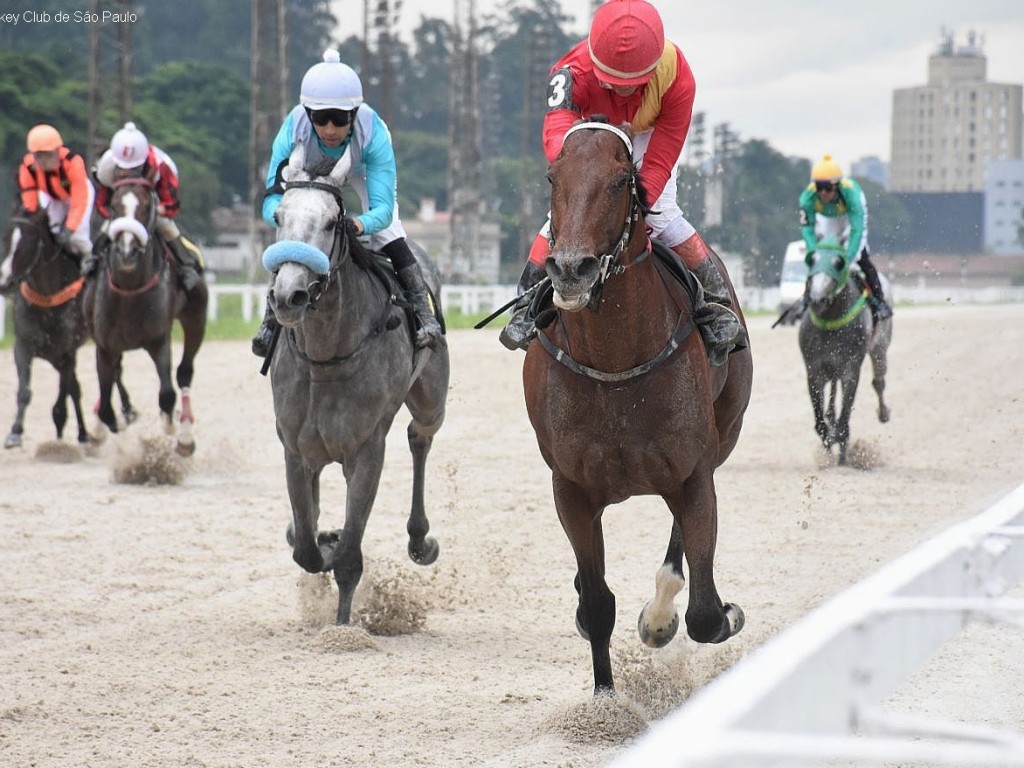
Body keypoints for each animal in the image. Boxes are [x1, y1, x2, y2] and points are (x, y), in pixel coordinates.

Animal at [81, 173, 207, 456]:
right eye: (114, 206)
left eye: (147, 206)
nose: (127, 249)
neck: (129, 291)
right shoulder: (105, 345)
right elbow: (106, 399)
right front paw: (105, 427)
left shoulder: (159, 340)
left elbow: (167, 394)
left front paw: (170, 428)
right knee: (114, 376)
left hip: (196, 317)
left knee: (184, 371)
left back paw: (184, 435)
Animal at [264, 144, 448, 626]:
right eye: (279, 216)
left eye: (332, 222)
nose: (288, 295)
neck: (327, 356)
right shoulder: (296, 449)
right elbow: (305, 547)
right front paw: (320, 539)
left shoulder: (365, 451)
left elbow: (348, 554)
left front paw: (344, 625)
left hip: (432, 399)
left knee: (420, 435)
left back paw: (420, 540)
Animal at [520, 121, 753, 696]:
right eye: (552, 177)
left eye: (622, 180)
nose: (572, 269)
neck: (614, 358)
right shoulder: (571, 488)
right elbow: (597, 604)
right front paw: (605, 699)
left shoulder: (692, 473)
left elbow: (706, 614)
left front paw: (694, 616)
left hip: (722, 438)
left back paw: (661, 613)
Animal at [794, 240, 892, 466]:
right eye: (811, 260)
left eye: (838, 263)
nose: (817, 298)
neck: (830, 321)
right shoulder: (814, 370)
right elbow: (820, 422)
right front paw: (828, 449)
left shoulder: (851, 369)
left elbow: (844, 418)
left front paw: (842, 453)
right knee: (831, 400)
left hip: (880, 348)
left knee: (878, 382)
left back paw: (883, 413)